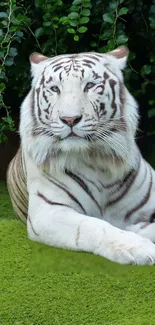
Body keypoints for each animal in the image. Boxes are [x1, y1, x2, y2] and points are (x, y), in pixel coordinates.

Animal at [6, 45, 155, 264]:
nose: (70, 119)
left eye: (90, 85)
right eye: (55, 89)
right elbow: (95, 226)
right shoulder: (49, 211)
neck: (99, 160)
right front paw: (138, 247)